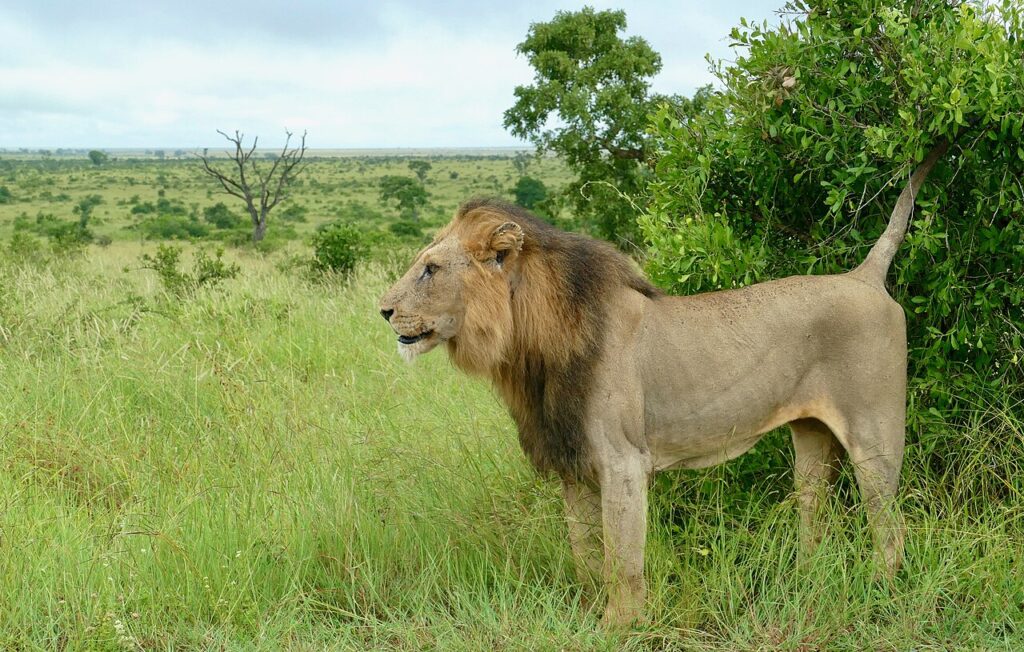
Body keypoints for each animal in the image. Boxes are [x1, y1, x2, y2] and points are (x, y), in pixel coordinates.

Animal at [379, 144, 945, 627]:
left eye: (430, 269)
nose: (383, 310)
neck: (529, 349)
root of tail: (864, 277)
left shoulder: (623, 461)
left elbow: (621, 560)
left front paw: (621, 626)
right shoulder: (573, 466)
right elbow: (585, 554)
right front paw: (588, 614)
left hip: (875, 437)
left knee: (890, 526)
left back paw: (881, 595)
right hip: (811, 435)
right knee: (815, 513)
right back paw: (804, 583)